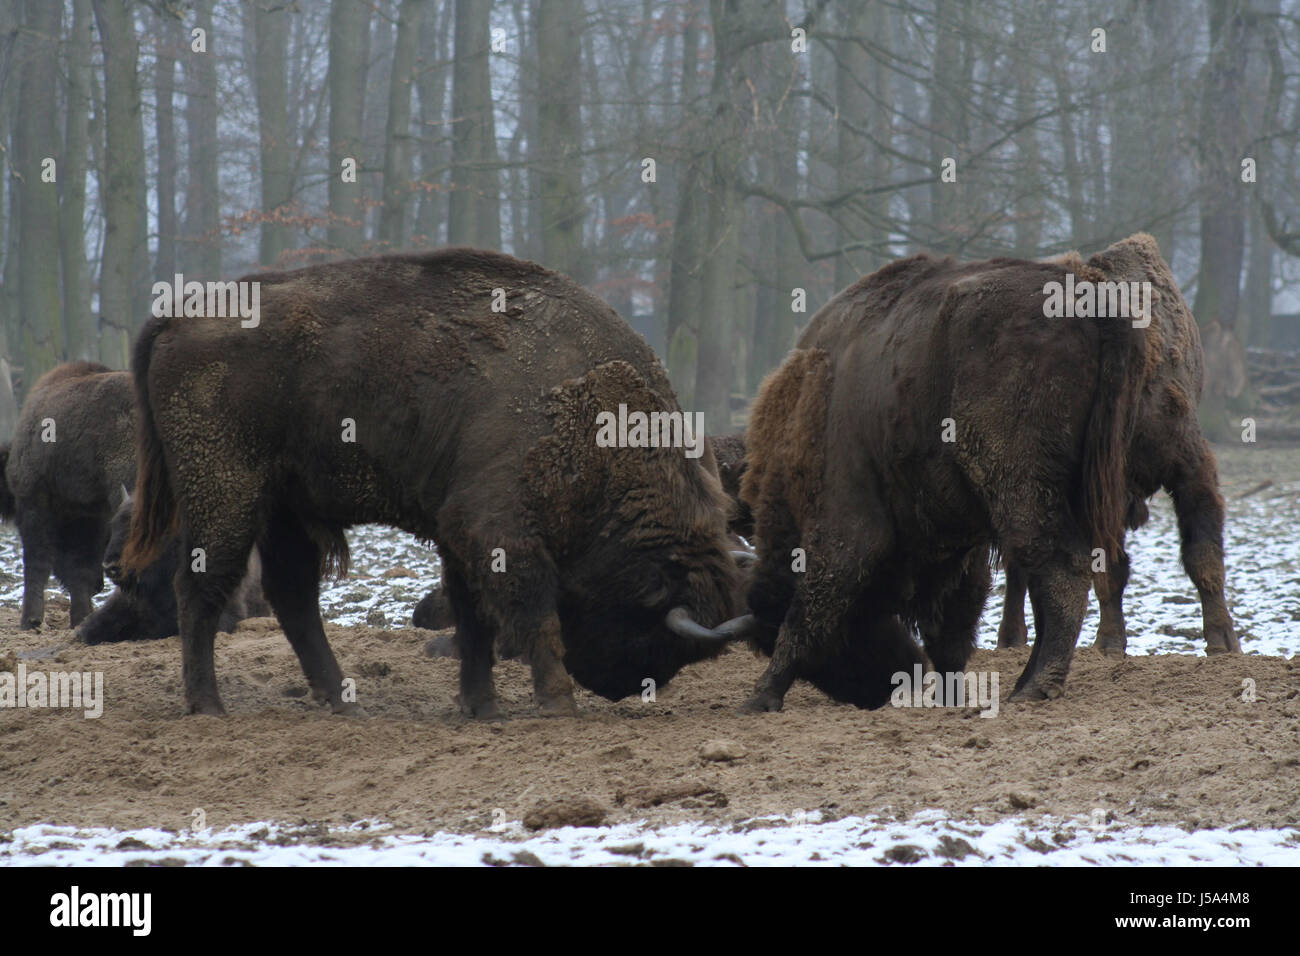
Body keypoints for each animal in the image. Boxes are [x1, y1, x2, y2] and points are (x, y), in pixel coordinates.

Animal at [126, 248, 748, 717]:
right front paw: (556, 704)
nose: (616, 687)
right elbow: (531, 614)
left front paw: (482, 707)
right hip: (225, 495)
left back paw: (342, 702)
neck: (594, 408)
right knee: (202, 588)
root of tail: (176, 317)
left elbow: (474, 618)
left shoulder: (462, 534)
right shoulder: (500, 531)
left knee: (293, 596)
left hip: (283, 506)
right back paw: (208, 705)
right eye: (654, 633)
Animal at [728, 234, 1232, 712]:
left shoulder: (848, 521)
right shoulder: (954, 540)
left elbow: (815, 602)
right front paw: (950, 692)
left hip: (1025, 489)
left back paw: (1035, 687)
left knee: (1064, 572)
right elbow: (951, 622)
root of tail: (1096, 298)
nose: (881, 686)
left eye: (769, 623)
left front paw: (760, 697)